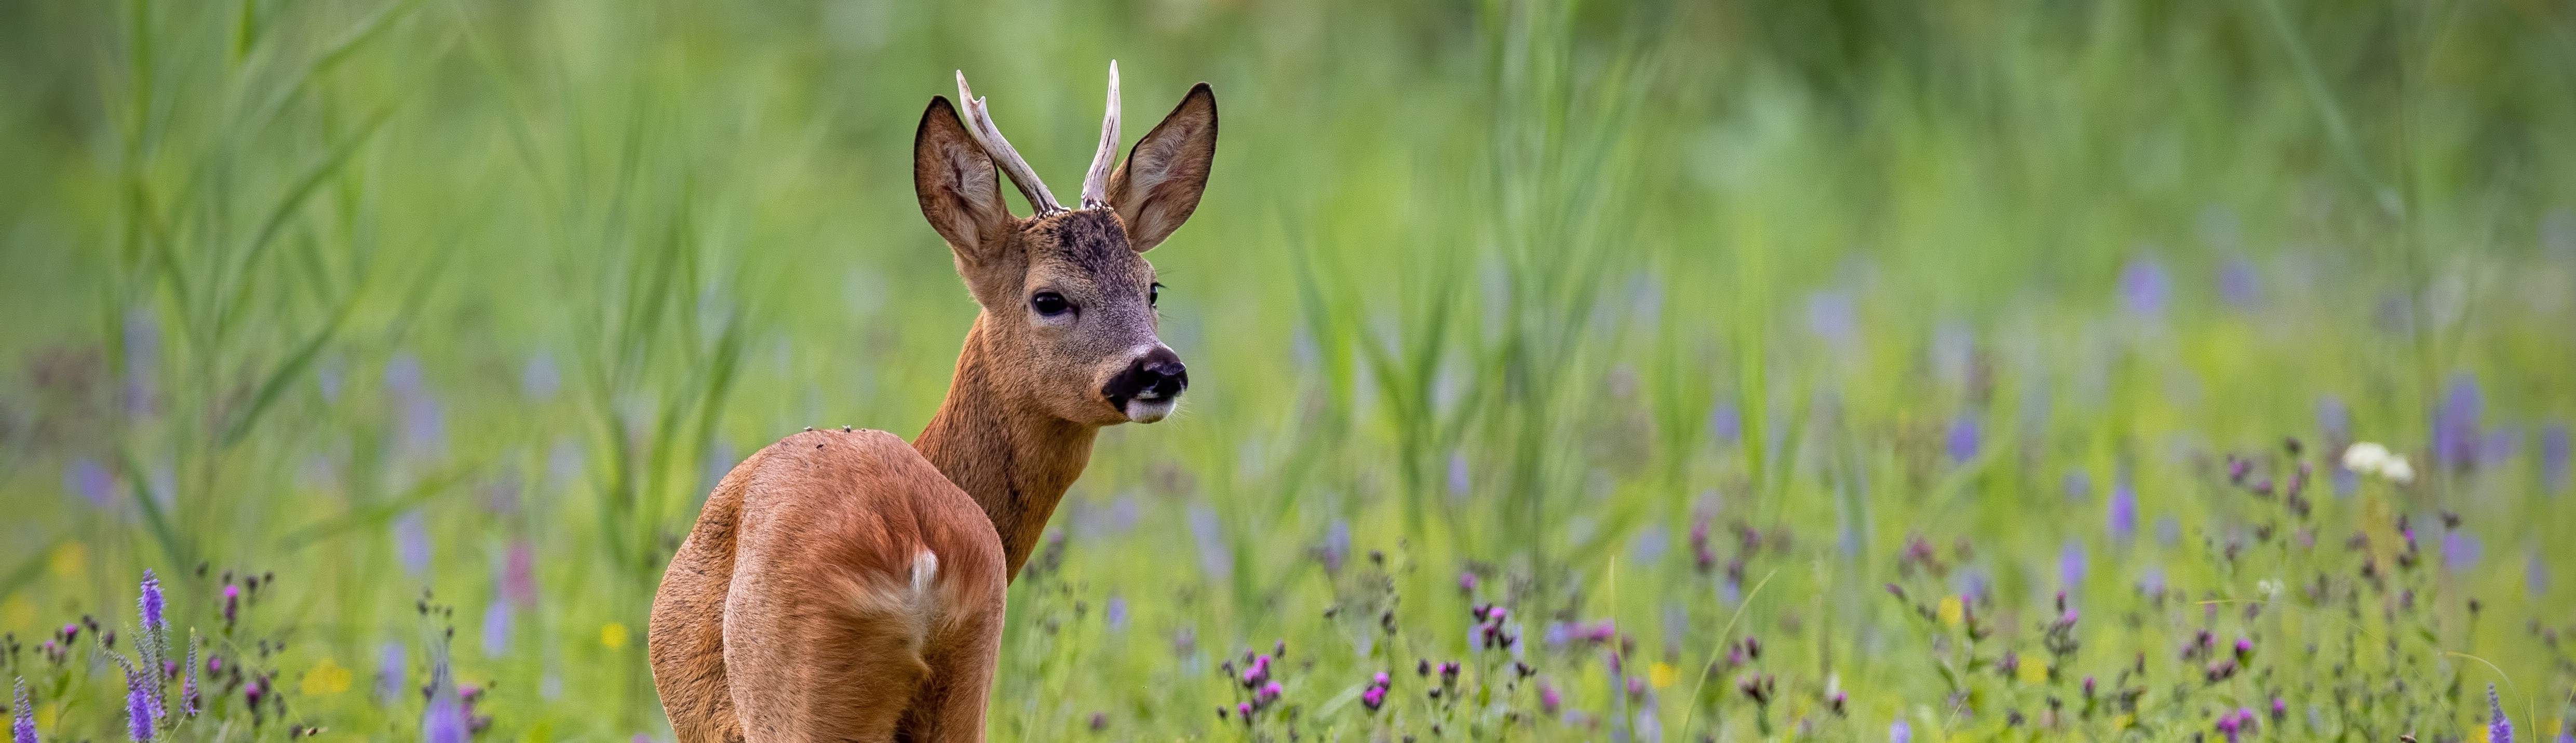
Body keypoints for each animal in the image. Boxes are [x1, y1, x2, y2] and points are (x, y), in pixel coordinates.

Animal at [639, 63, 1210, 743]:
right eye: (1048, 299)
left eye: (1151, 288)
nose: (1160, 370)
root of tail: (915, 553)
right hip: (964, 677)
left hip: (797, 693)